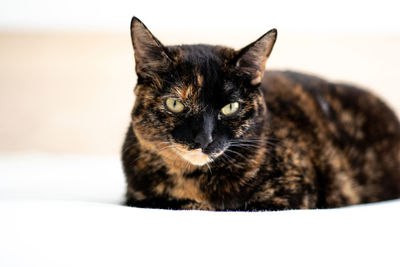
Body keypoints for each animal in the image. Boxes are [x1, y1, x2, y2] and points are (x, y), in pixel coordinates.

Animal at [121, 17, 400, 213]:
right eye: (175, 104)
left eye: (230, 107)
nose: (204, 139)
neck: (192, 179)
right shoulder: (134, 197)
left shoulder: (288, 197)